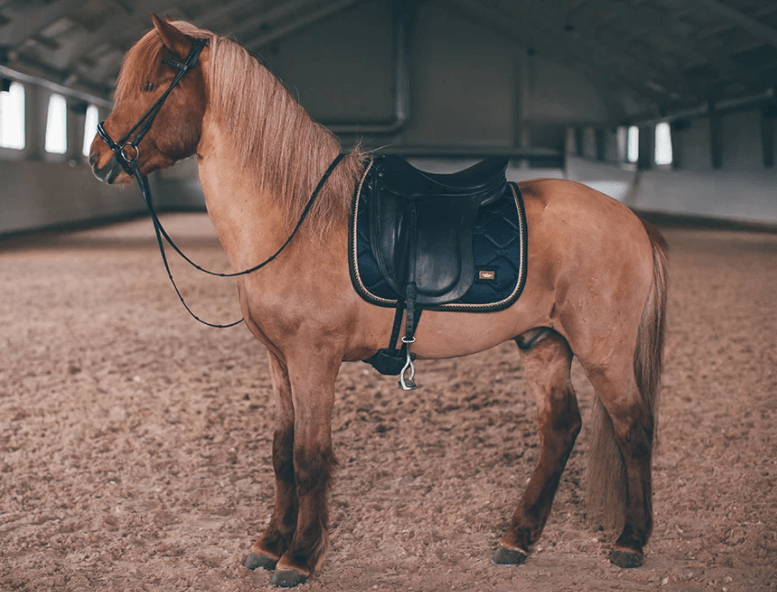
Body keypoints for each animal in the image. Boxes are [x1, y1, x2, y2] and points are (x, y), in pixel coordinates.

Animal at [89, 15, 668, 588]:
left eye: (150, 85)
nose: (97, 159)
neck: (296, 219)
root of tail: (632, 221)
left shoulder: (314, 360)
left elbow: (309, 457)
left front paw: (300, 556)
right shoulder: (279, 361)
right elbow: (281, 453)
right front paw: (269, 544)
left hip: (602, 352)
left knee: (634, 429)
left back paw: (631, 541)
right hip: (543, 343)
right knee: (560, 429)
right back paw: (518, 539)